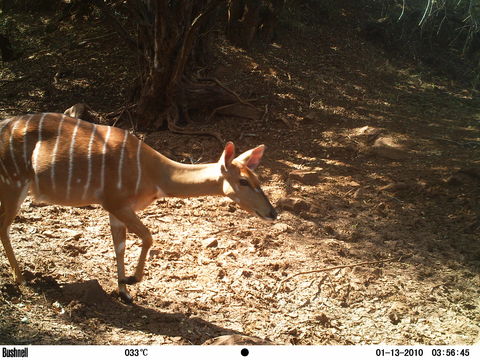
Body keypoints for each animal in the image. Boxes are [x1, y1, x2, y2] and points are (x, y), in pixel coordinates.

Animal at [0, 112, 278, 300]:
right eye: (243, 181)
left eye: (258, 178)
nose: (272, 213)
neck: (155, 175)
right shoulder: (116, 201)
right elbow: (148, 237)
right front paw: (133, 280)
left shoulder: (115, 209)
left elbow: (119, 247)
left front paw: (124, 290)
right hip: (13, 182)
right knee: (4, 227)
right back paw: (21, 279)